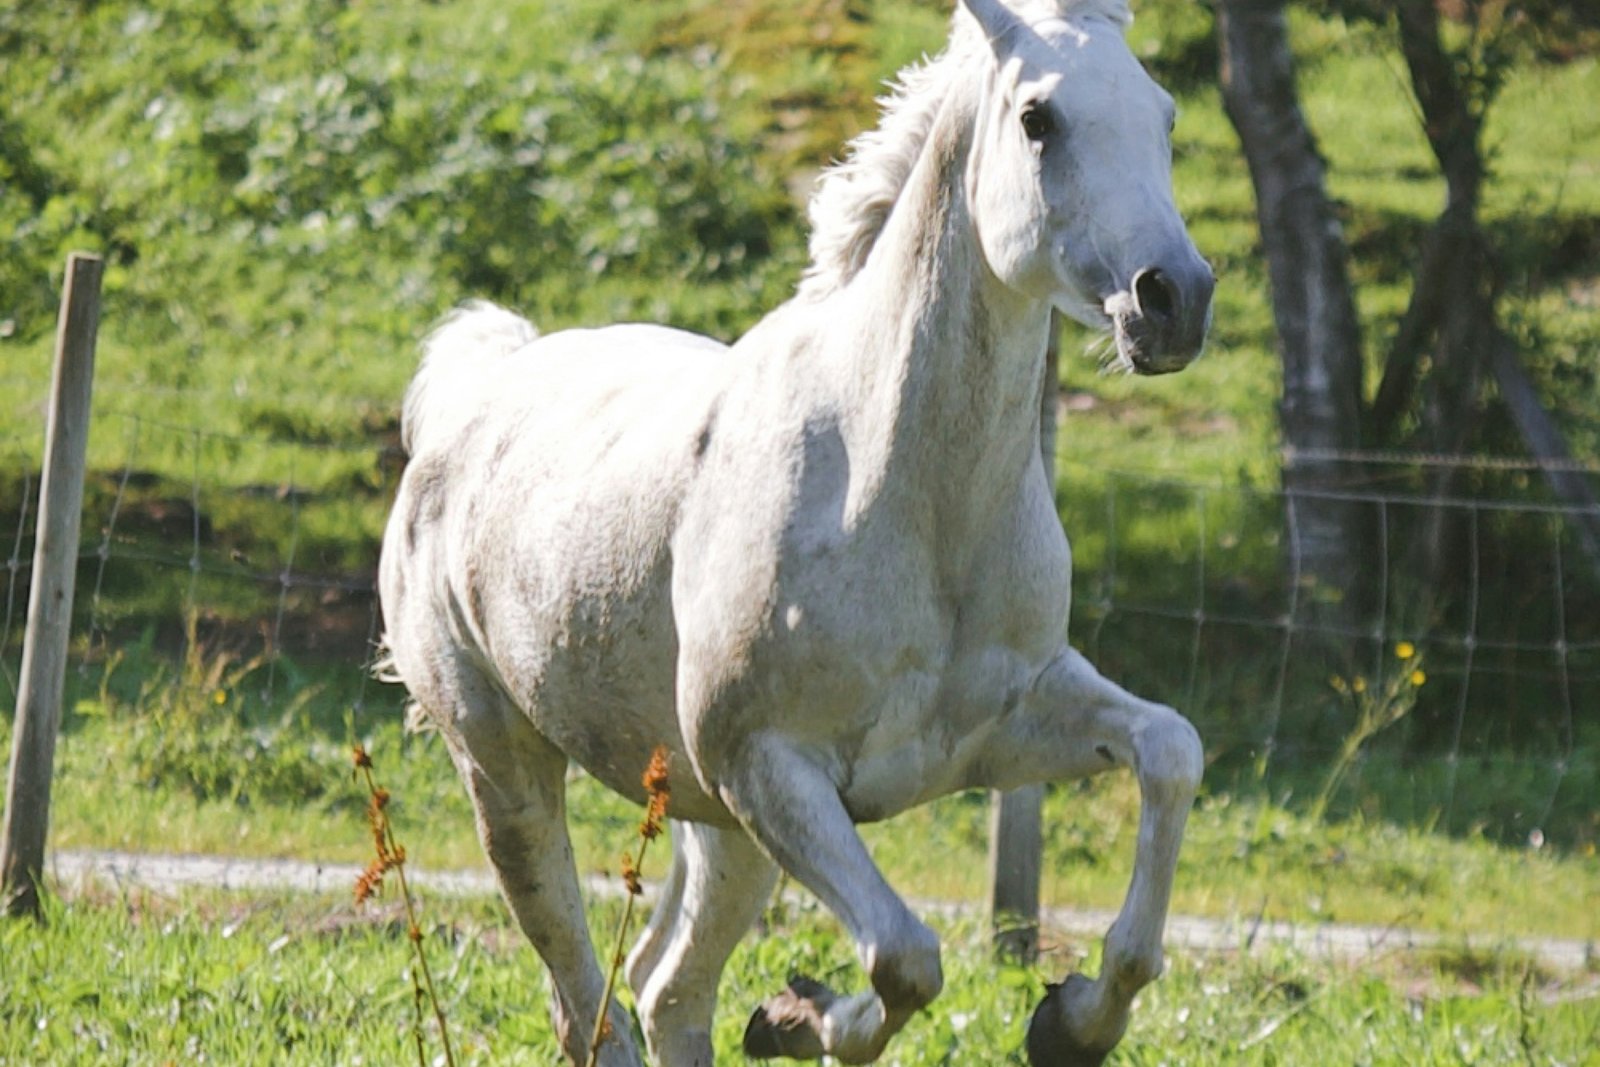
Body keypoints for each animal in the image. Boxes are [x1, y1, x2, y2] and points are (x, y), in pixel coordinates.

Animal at [377, 0, 1214, 1063]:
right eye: (1038, 119)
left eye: (1166, 113)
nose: (1174, 298)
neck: (908, 500)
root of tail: (476, 392)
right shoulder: (771, 770)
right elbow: (906, 958)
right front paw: (801, 1013)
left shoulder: (1004, 728)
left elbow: (1171, 752)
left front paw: (1071, 1019)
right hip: (507, 770)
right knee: (592, 1001)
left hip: (713, 825)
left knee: (667, 991)